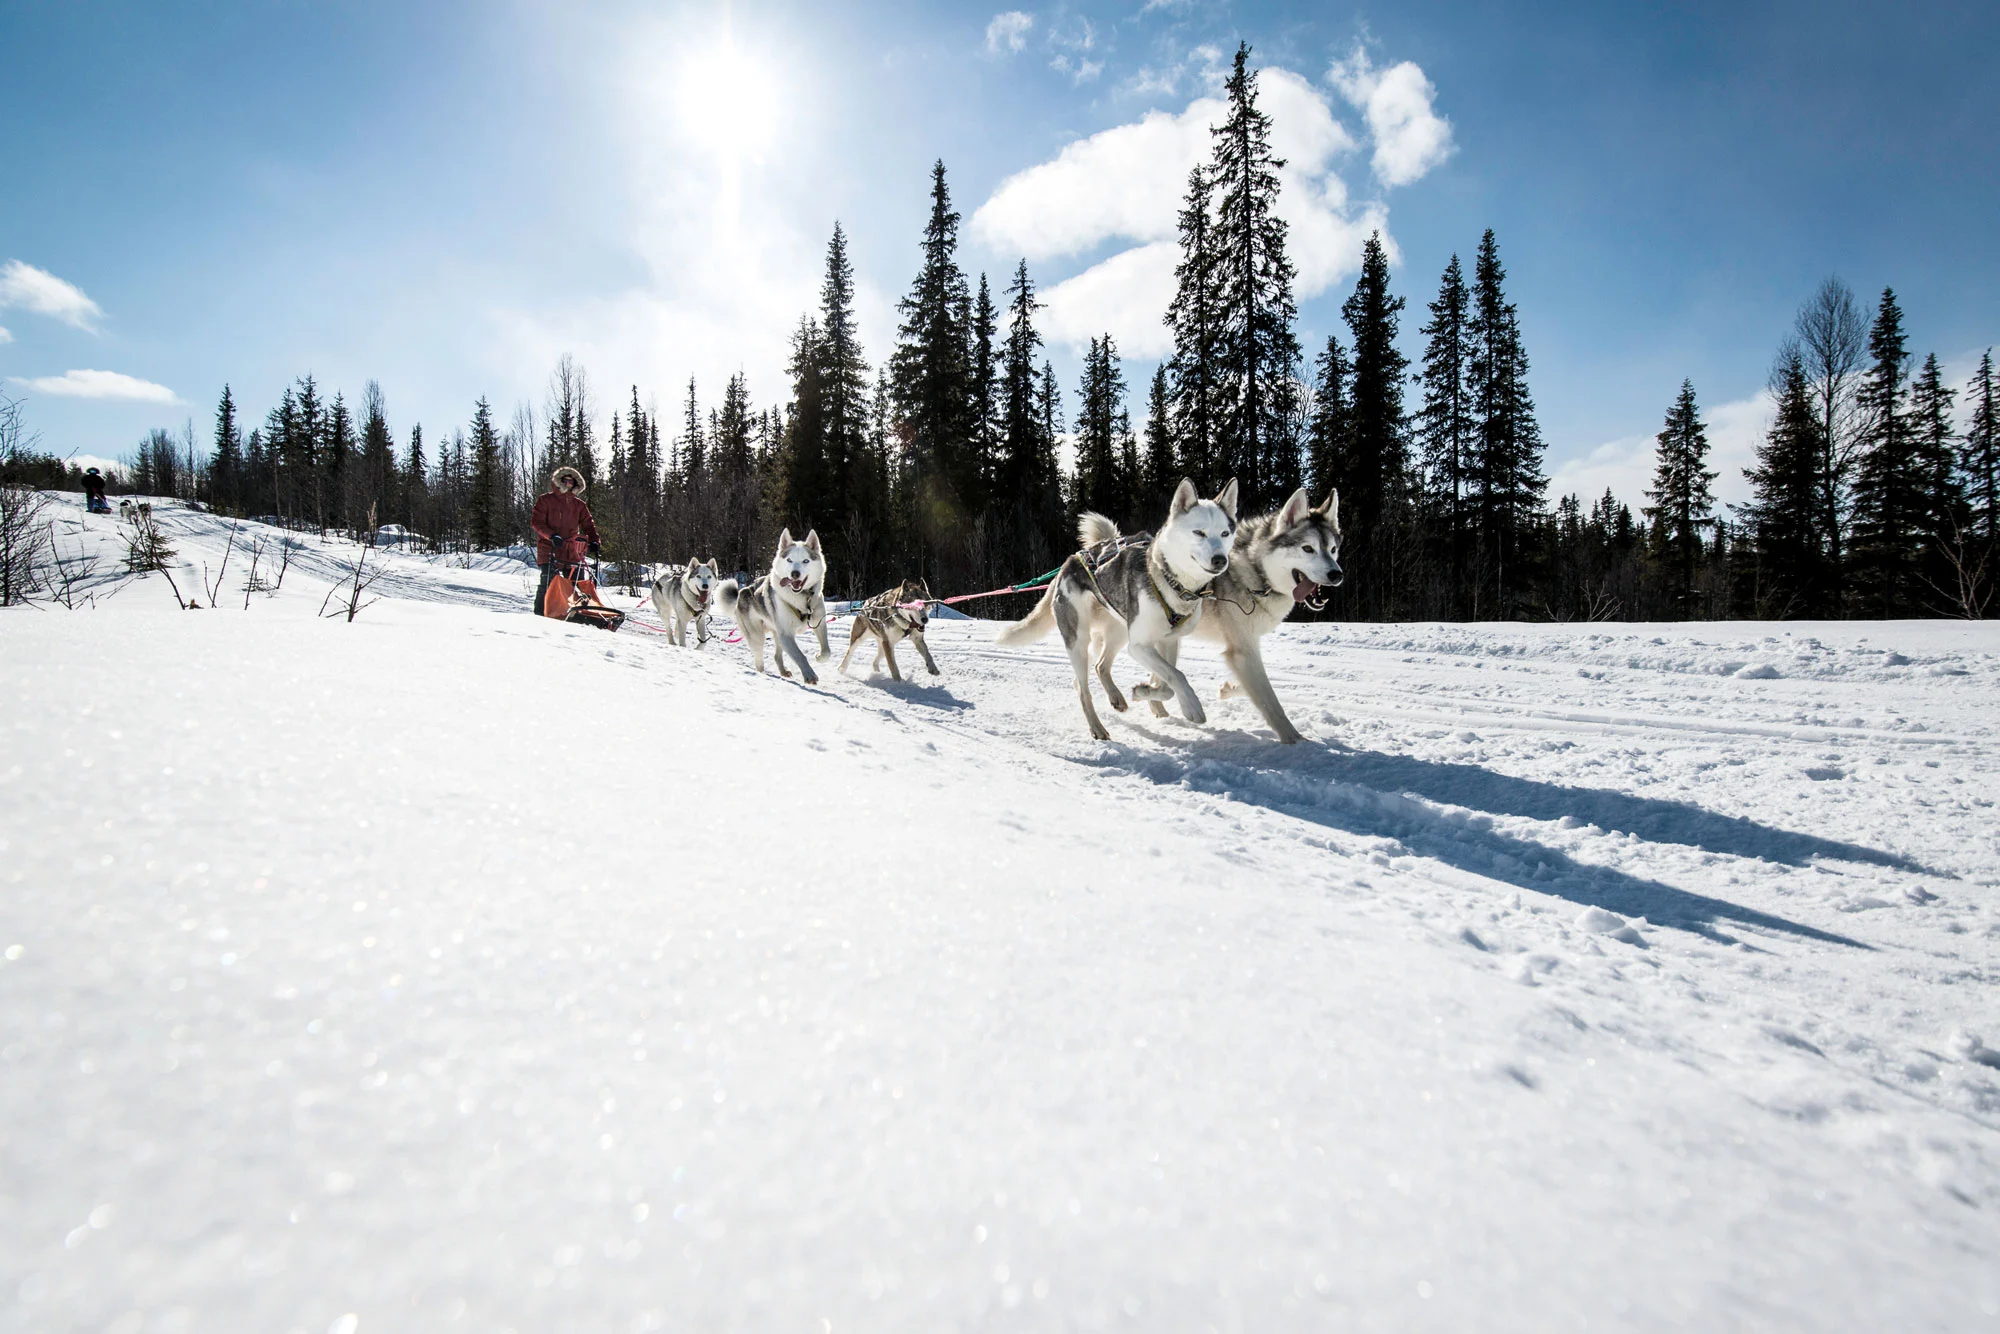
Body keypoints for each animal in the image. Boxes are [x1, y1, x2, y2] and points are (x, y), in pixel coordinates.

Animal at [720, 528, 828, 684]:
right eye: (789, 560)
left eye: (805, 561)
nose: (795, 574)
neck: (802, 598)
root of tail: (742, 592)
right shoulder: (786, 635)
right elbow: (800, 656)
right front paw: (809, 674)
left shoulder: (819, 623)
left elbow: (826, 651)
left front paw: (819, 657)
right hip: (758, 637)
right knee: (759, 660)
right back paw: (761, 673)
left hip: (777, 634)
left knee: (777, 656)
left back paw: (783, 671)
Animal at [996, 478, 1232, 740]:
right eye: (1199, 532)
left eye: (1225, 533)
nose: (1220, 559)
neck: (1169, 580)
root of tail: (1068, 563)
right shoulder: (1139, 646)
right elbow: (1176, 676)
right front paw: (1191, 706)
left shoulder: (1169, 641)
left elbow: (1166, 682)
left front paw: (1145, 693)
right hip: (1079, 640)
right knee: (1083, 689)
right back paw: (1097, 727)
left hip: (1118, 631)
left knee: (1099, 667)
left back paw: (1117, 697)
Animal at [1184, 488, 1344, 748]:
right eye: (1308, 549)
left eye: (1332, 550)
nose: (1336, 575)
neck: (1258, 575)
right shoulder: (1243, 651)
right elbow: (1271, 700)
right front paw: (1295, 740)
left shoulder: (1244, 651)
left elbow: (1256, 688)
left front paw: (1228, 688)